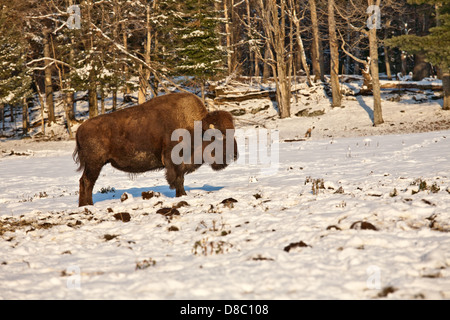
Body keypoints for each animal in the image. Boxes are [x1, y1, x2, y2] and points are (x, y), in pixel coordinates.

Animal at [74, 92, 239, 208]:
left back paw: (85, 205)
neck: (196, 127)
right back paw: (87, 205)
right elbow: (178, 179)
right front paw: (182, 195)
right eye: (219, 137)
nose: (234, 155)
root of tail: (80, 129)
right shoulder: (173, 161)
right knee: (87, 182)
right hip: (94, 164)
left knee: (84, 181)